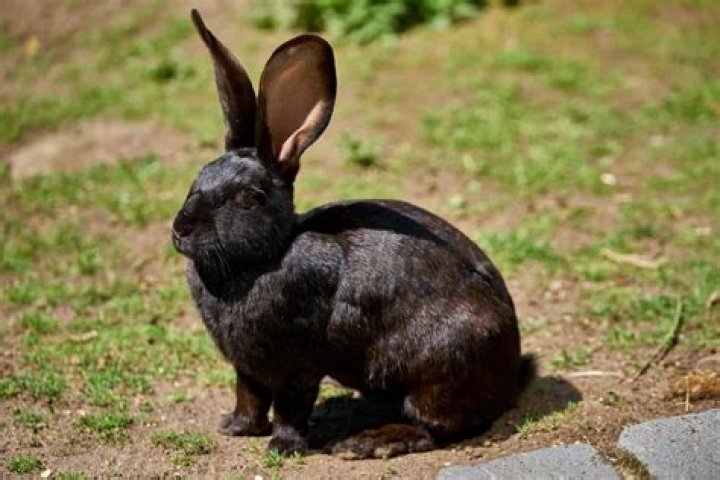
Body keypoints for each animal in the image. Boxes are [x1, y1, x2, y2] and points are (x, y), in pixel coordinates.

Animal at [172, 9, 535, 459]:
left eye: (248, 198)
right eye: (198, 178)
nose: (180, 229)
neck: (265, 256)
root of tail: (509, 376)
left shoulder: (298, 362)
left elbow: (290, 405)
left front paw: (282, 447)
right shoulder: (247, 364)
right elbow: (249, 395)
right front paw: (235, 428)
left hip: (441, 370)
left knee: (435, 428)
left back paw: (367, 442)